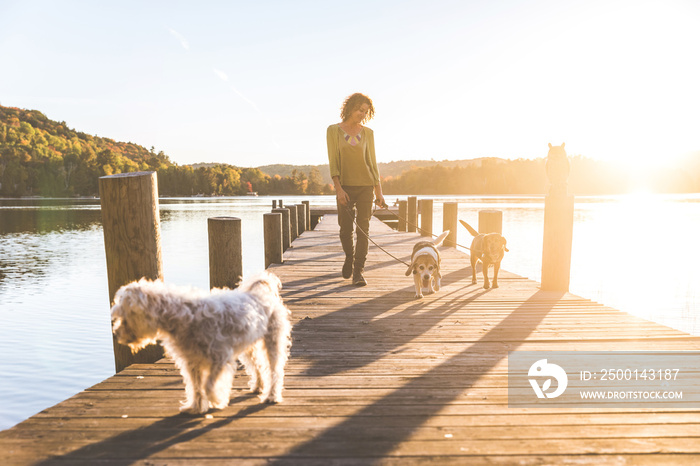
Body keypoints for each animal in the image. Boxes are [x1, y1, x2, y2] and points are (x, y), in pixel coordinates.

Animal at [110, 272, 292, 414]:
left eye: (124, 318)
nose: (116, 334)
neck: (182, 315)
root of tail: (261, 292)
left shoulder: (220, 358)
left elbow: (208, 385)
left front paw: (217, 399)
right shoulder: (192, 362)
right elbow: (196, 387)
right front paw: (195, 407)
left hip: (272, 344)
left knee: (275, 371)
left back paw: (271, 396)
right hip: (248, 348)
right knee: (257, 366)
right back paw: (258, 386)